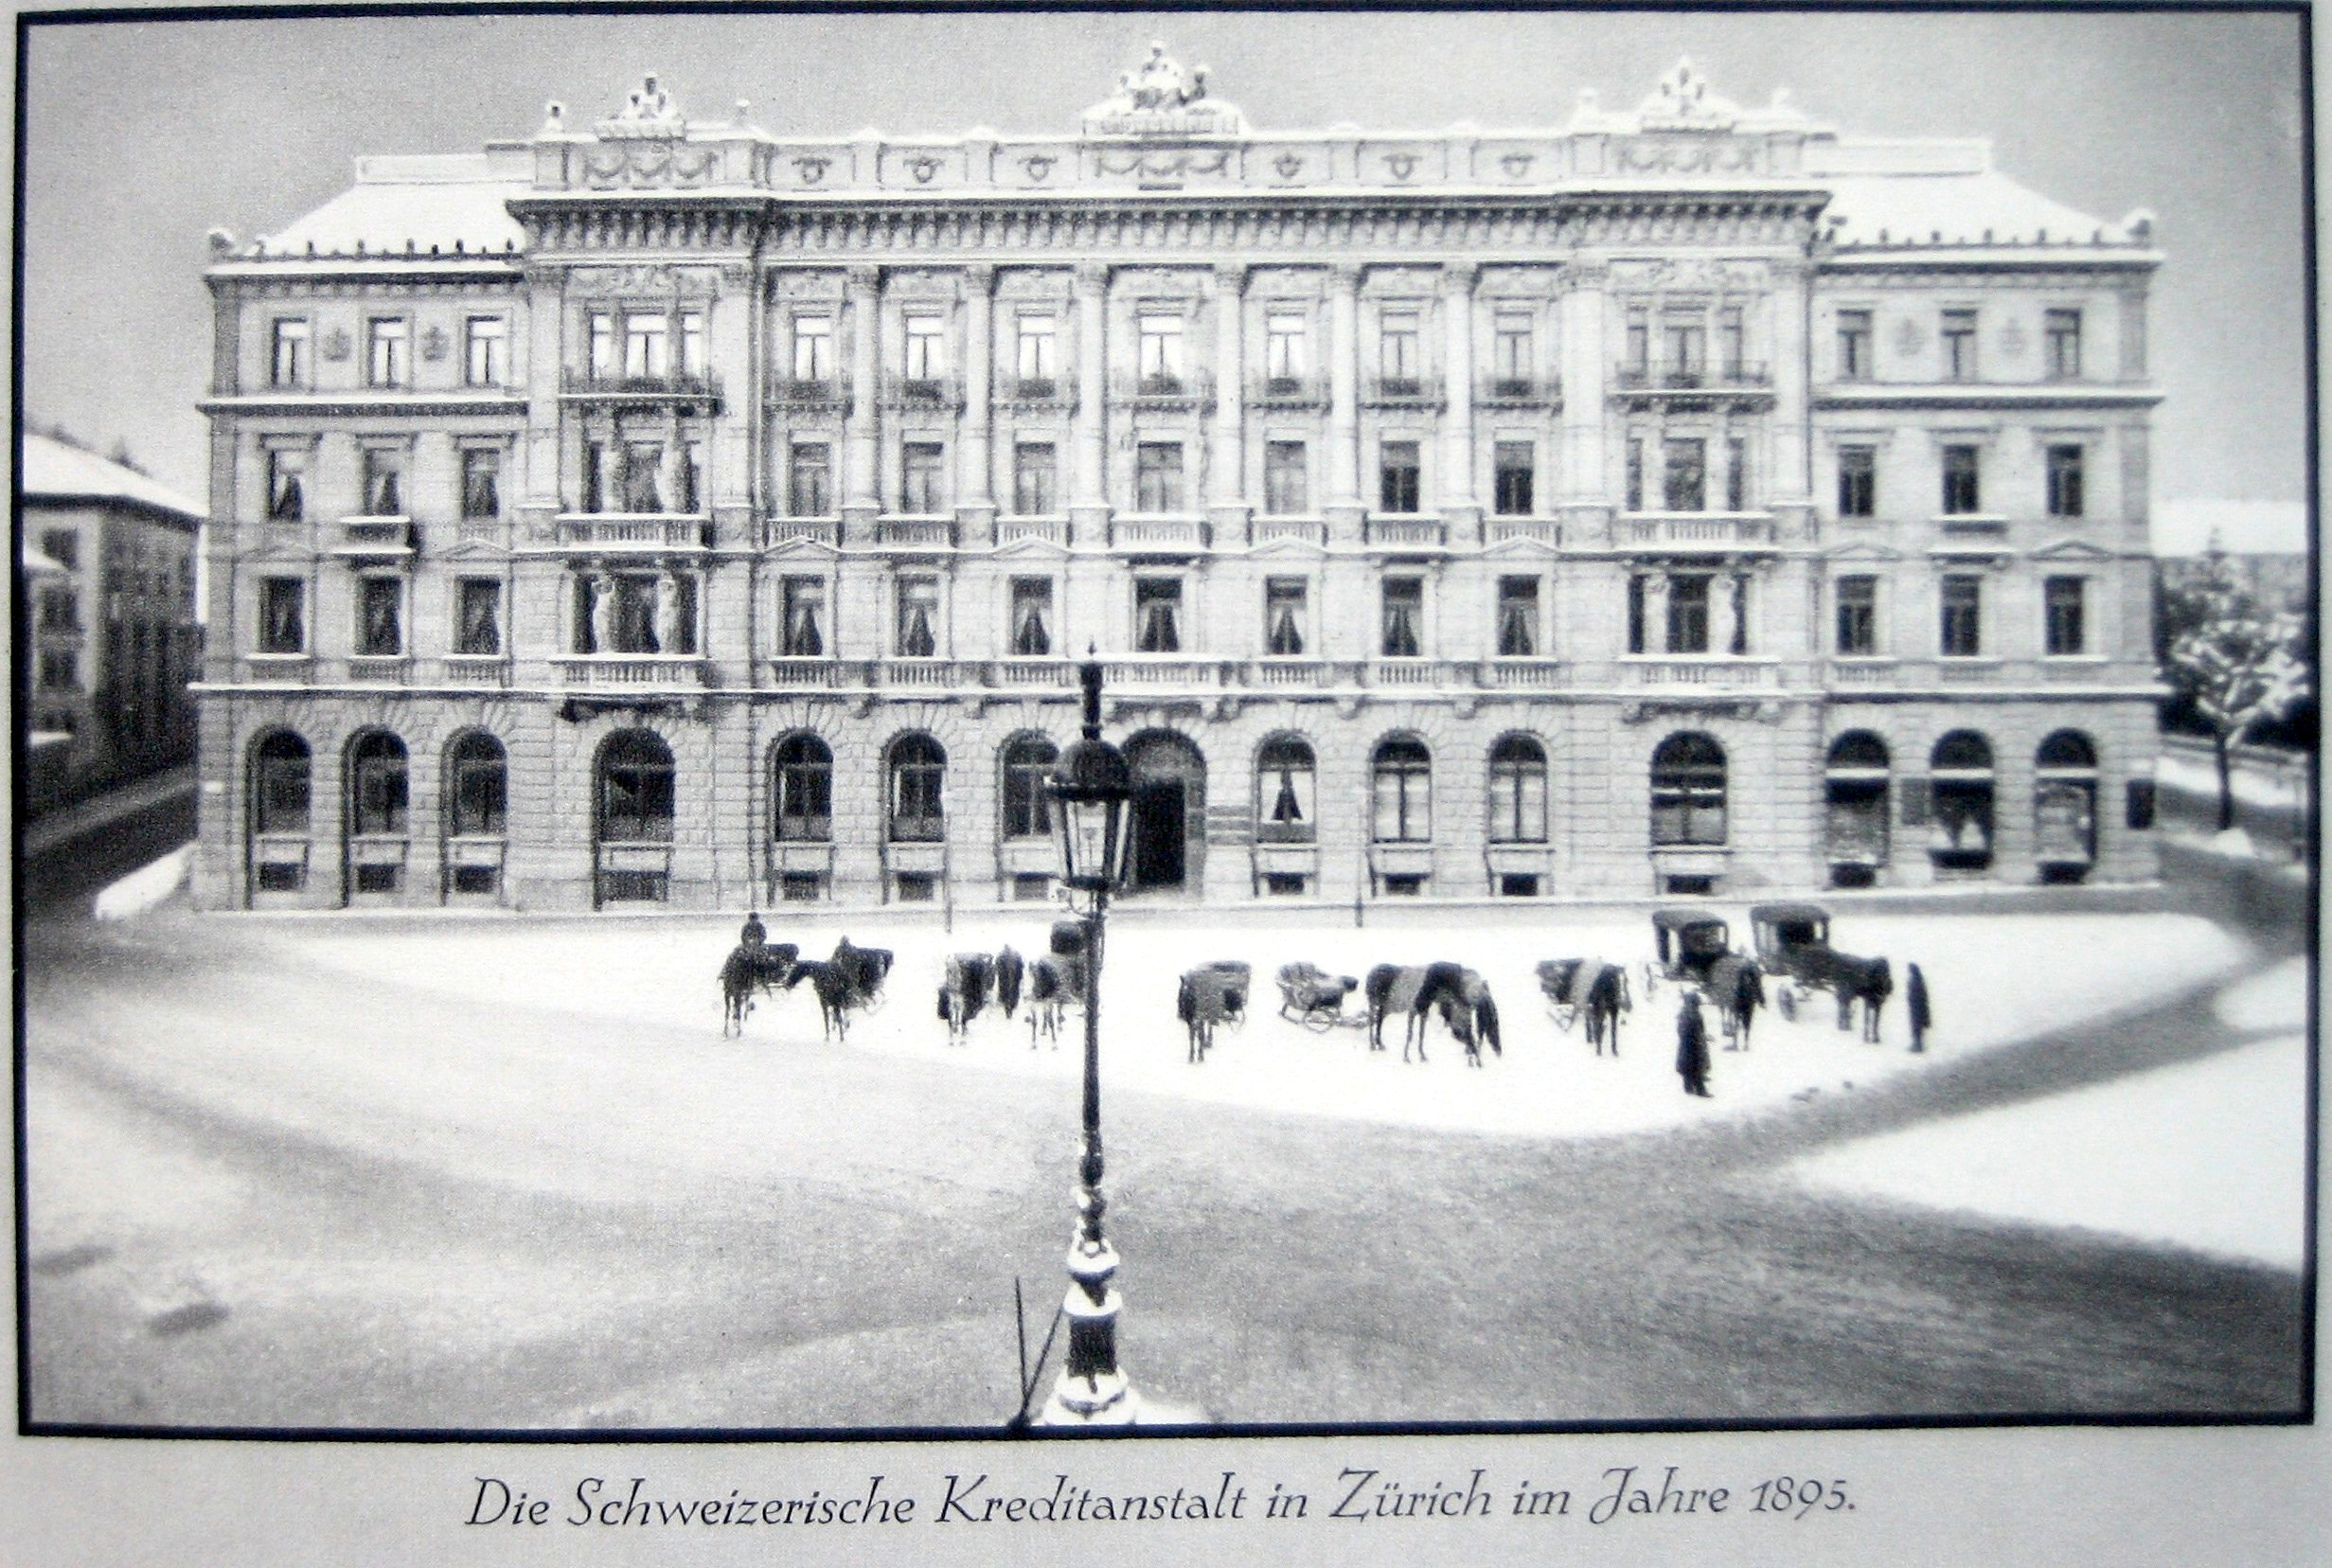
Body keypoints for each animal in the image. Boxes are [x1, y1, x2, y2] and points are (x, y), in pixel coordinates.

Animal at [1362, 966, 1502, 1063]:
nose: (1477, 1001)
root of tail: (1371, 972)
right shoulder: (1413, 1011)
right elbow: (1410, 1035)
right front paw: (1407, 1058)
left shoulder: (1423, 1013)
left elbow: (1421, 1034)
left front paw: (1422, 1056)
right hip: (1374, 1003)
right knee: (1372, 1021)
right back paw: (1372, 1045)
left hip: (1388, 1007)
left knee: (1379, 1019)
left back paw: (1380, 1044)